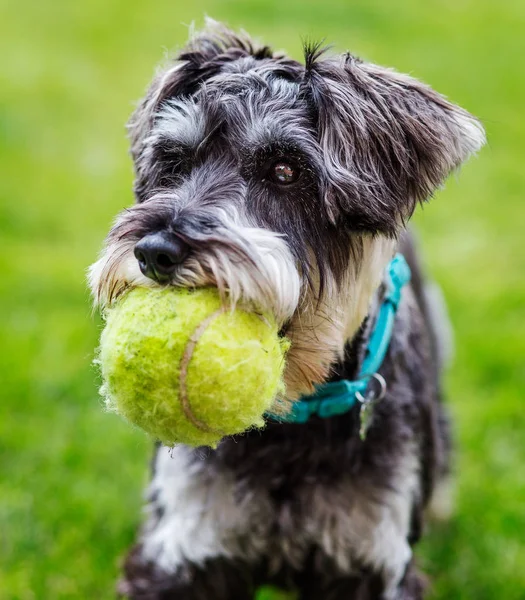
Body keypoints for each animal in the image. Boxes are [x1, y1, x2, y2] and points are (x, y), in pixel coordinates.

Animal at [89, 19, 484, 600]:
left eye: (285, 170)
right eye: (174, 162)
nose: (155, 252)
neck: (290, 423)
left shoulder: (377, 561)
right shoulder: (181, 547)